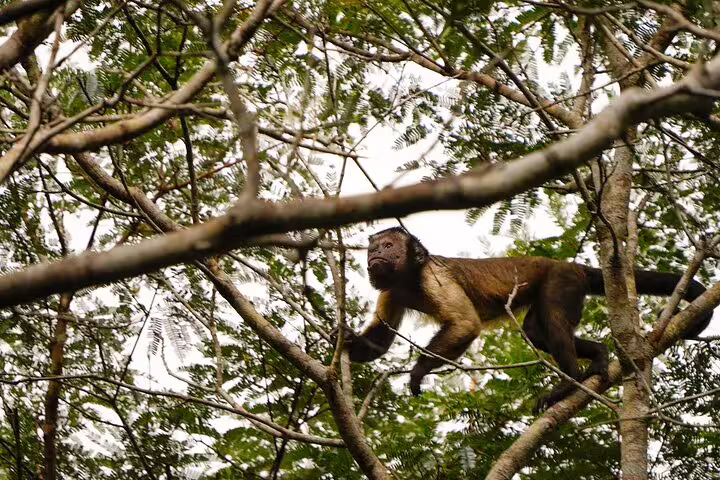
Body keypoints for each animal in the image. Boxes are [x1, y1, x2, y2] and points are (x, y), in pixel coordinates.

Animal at [340, 227, 713, 410]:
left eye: (389, 246)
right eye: (375, 248)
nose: (375, 253)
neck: (409, 277)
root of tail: (574, 266)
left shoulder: (434, 278)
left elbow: (466, 325)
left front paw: (417, 372)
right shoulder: (391, 291)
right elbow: (381, 340)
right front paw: (343, 341)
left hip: (562, 281)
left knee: (554, 318)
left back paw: (569, 381)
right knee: (536, 331)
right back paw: (598, 354)